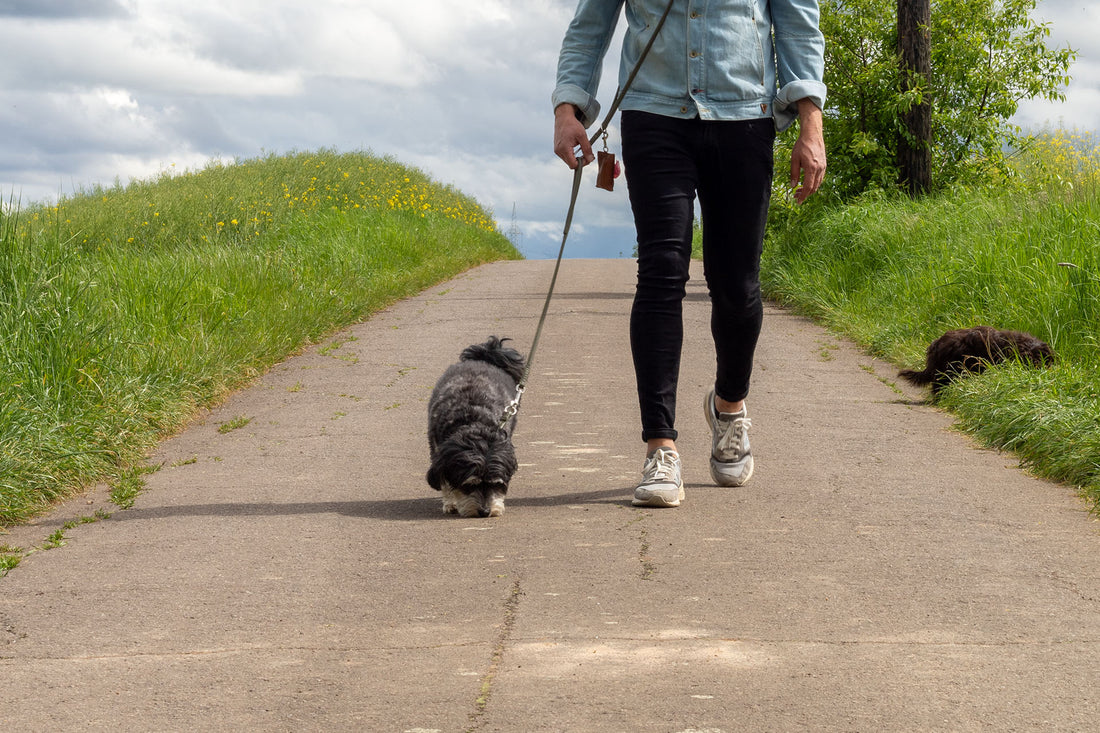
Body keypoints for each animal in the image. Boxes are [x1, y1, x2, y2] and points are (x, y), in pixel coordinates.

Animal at [424, 334, 523, 517]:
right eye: (469, 485)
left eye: (496, 484)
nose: (485, 511)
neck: (474, 421)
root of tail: (485, 356)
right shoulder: (438, 450)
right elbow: (444, 480)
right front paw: (450, 503)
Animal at [902, 323, 1056, 394]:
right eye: (1036, 359)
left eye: (1045, 359)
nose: (1042, 369)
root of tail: (937, 343)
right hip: (948, 371)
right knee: (938, 386)